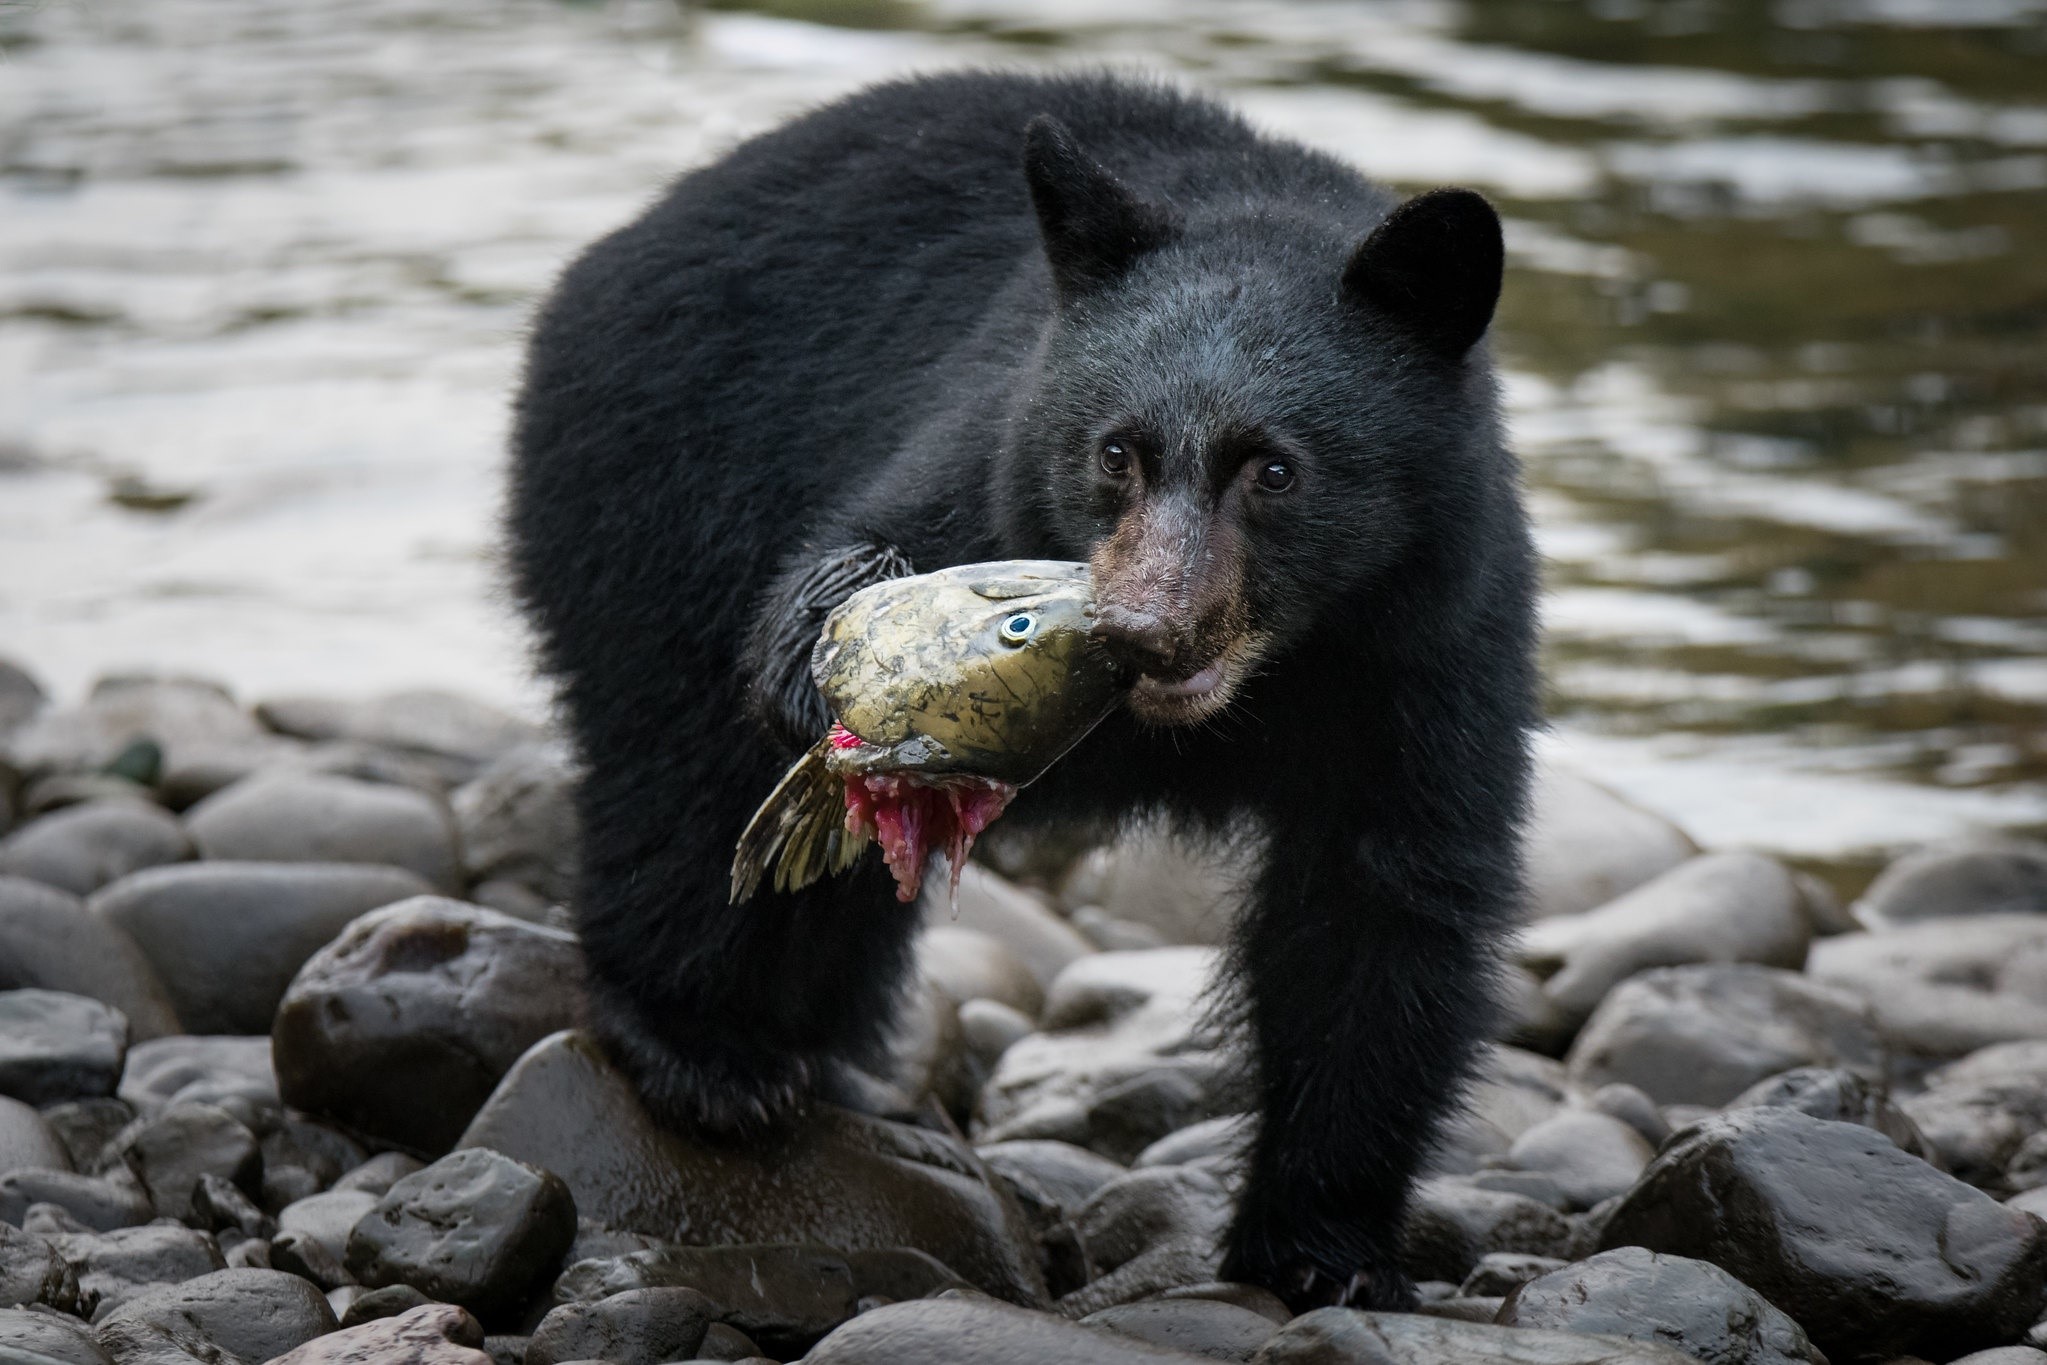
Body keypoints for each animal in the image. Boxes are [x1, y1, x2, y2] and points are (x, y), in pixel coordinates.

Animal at [508, 70, 1537, 1310]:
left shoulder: (1430, 647)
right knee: (683, 780)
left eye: (1275, 469)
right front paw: (836, 644)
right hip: (656, 494)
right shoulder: (989, 448)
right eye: (1115, 452)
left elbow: (1381, 908)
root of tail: (614, 250)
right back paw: (709, 1052)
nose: (1146, 630)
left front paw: (1321, 1249)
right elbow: (866, 559)